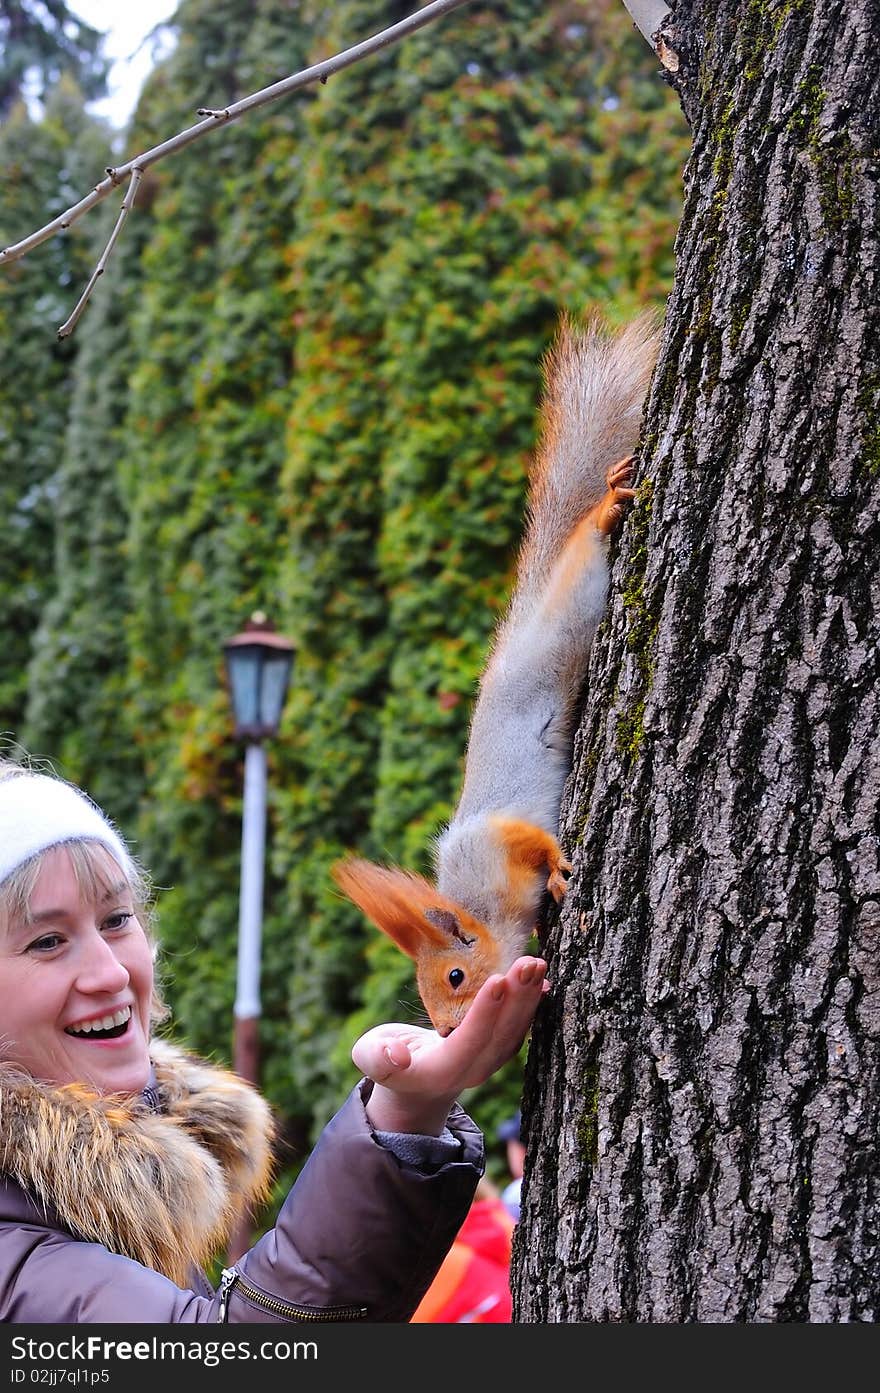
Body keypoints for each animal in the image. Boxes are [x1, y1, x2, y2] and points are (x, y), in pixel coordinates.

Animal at [332, 313, 657, 1036]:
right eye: (426, 1001)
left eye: (456, 975)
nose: (450, 1031)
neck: (477, 893)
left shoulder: (500, 836)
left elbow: (535, 841)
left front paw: (561, 870)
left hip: (571, 611)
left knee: (585, 550)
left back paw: (604, 507)